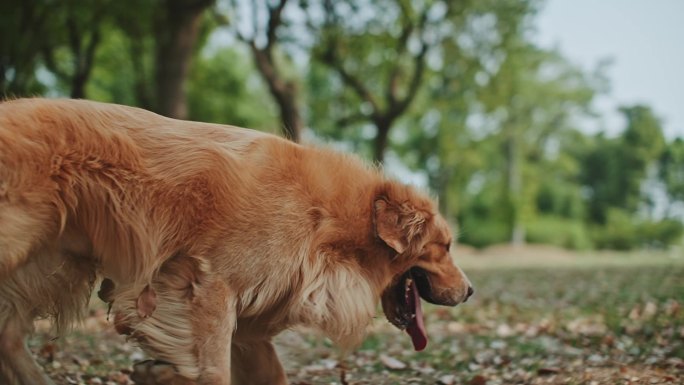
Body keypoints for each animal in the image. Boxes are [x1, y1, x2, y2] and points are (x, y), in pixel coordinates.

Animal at [0, 97, 470, 382]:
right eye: (445, 247)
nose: (469, 292)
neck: (330, 220)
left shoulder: (247, 327)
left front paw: (158, 372)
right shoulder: (209, 292)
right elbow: (213, 372)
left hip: (52, 265)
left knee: (8, 335)